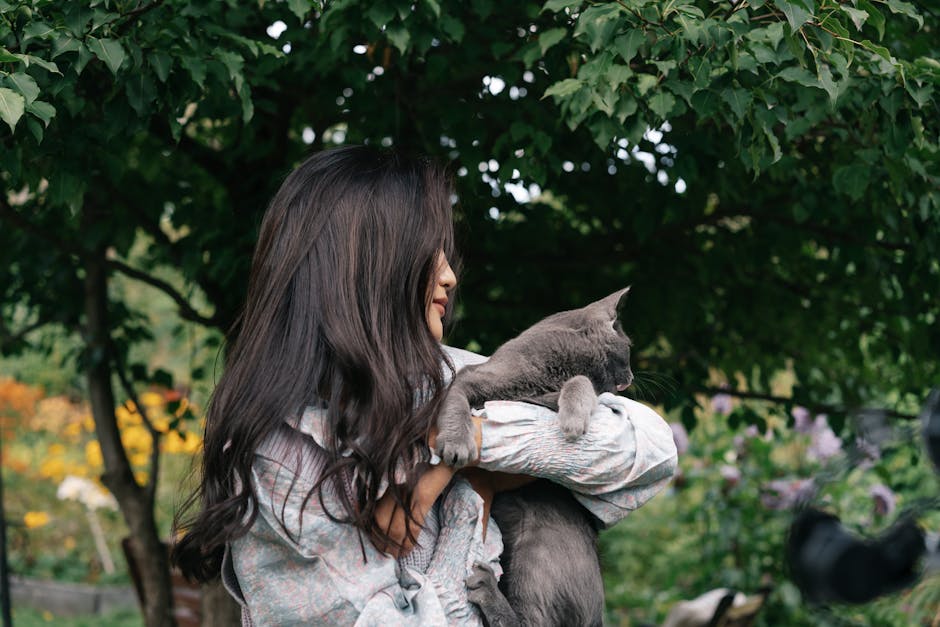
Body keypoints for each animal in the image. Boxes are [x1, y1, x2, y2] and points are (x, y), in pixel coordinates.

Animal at [434, 288, 632, 624]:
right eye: (629, 348)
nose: (630, 377)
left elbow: (581, 384)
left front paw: (573, 419)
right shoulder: (475, 377)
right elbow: (455, 397)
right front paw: (456, 441)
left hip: (542, 546)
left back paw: (486, 587)